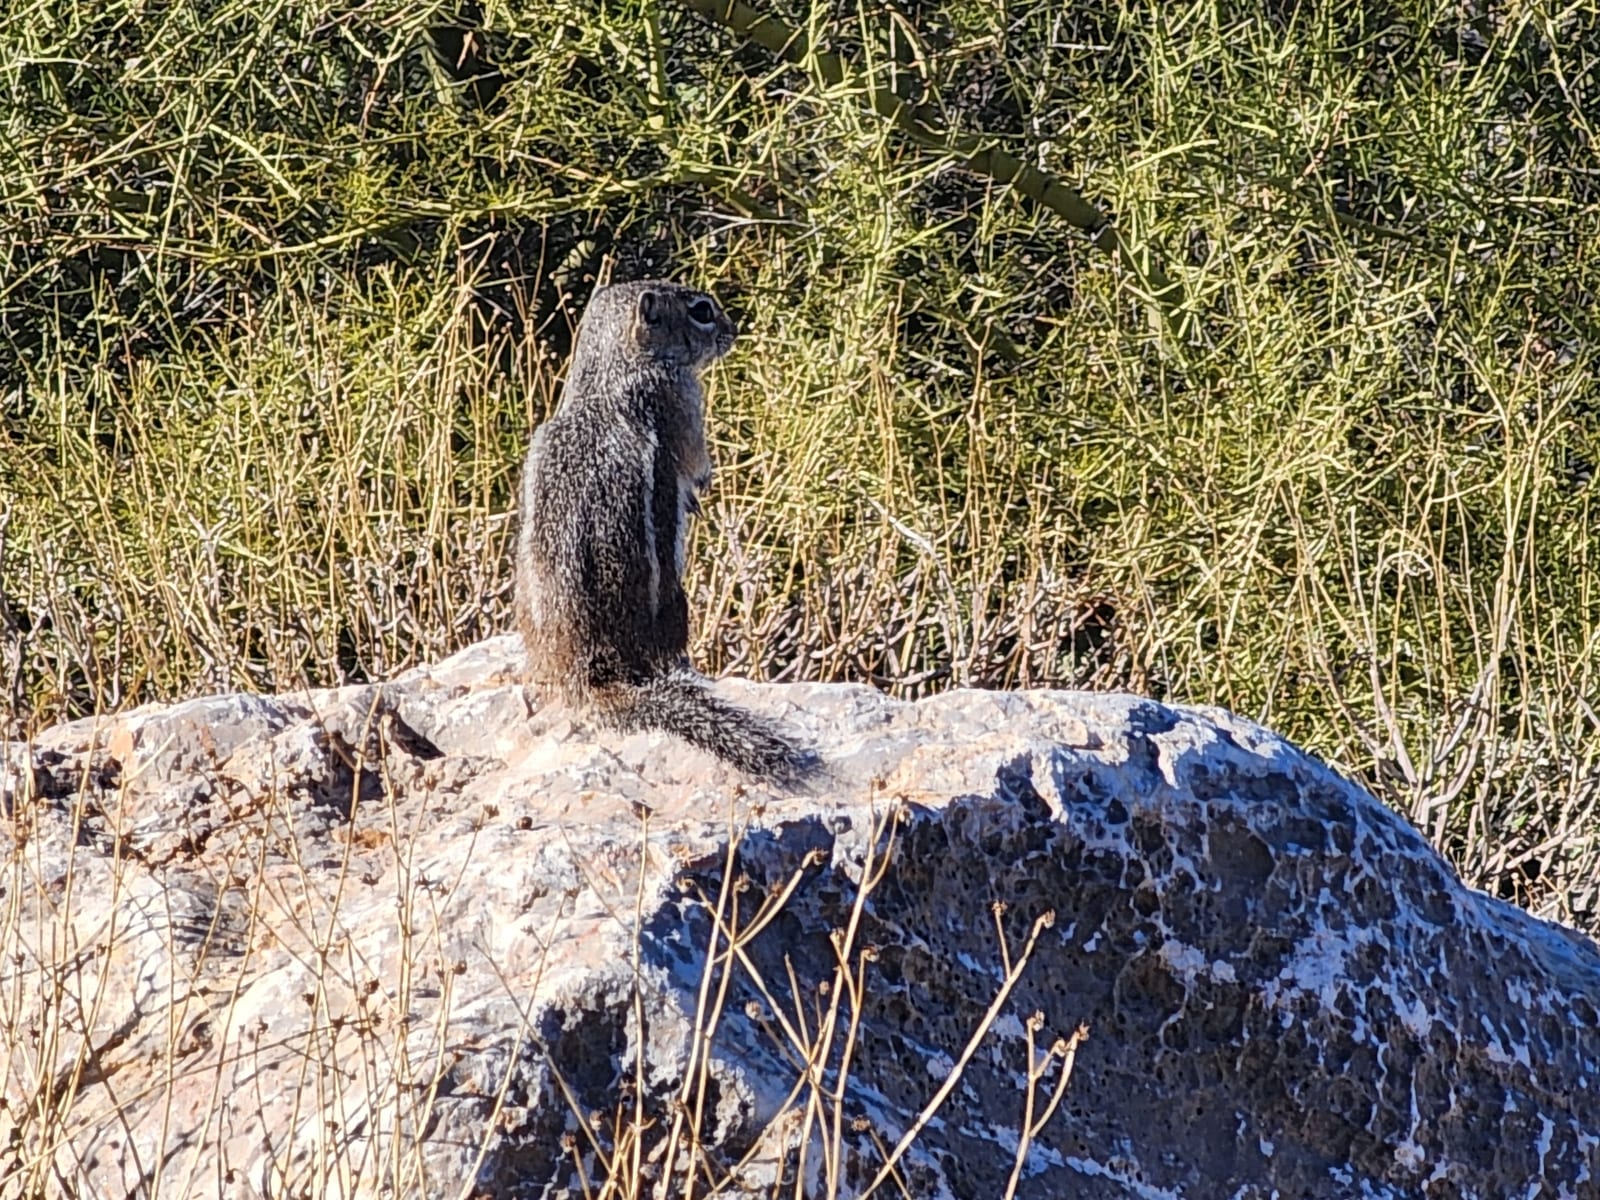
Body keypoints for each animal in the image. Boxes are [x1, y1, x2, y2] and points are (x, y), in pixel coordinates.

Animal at [514, 279, 812, 779]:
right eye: (702, 311)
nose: (733, 331)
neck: (608, 376)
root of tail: (588, 672)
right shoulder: (683, 399)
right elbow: (695, 464)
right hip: (676, 600)